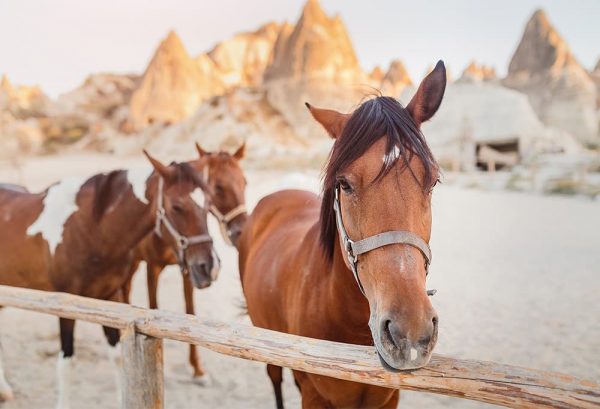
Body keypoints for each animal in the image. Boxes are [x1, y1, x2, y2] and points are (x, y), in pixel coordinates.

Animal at [0, 151, 218, 406]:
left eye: (208, 206)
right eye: (177, 206)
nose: (209, 267)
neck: (90, 228)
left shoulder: (110, 297)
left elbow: (117, 357)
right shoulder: (66, 303)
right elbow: (66, 362)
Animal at [122, 143, 246, 380]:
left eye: (245, 182)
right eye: (218, 188)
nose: (241, 230)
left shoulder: (191, 269)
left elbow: (190, 311)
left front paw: (197, 367)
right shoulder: (153, 267)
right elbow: (153, 307)